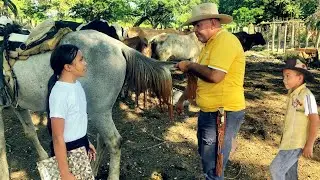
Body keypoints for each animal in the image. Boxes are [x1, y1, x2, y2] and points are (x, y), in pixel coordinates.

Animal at [0, 30, 172, 179]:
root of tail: (119, 46)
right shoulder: (18, 106)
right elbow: (30, 132)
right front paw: (43, 158)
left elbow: (1, 147)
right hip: (99, 111)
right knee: (102, 140)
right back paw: (93, 169)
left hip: (99, 112)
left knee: (114, 142)